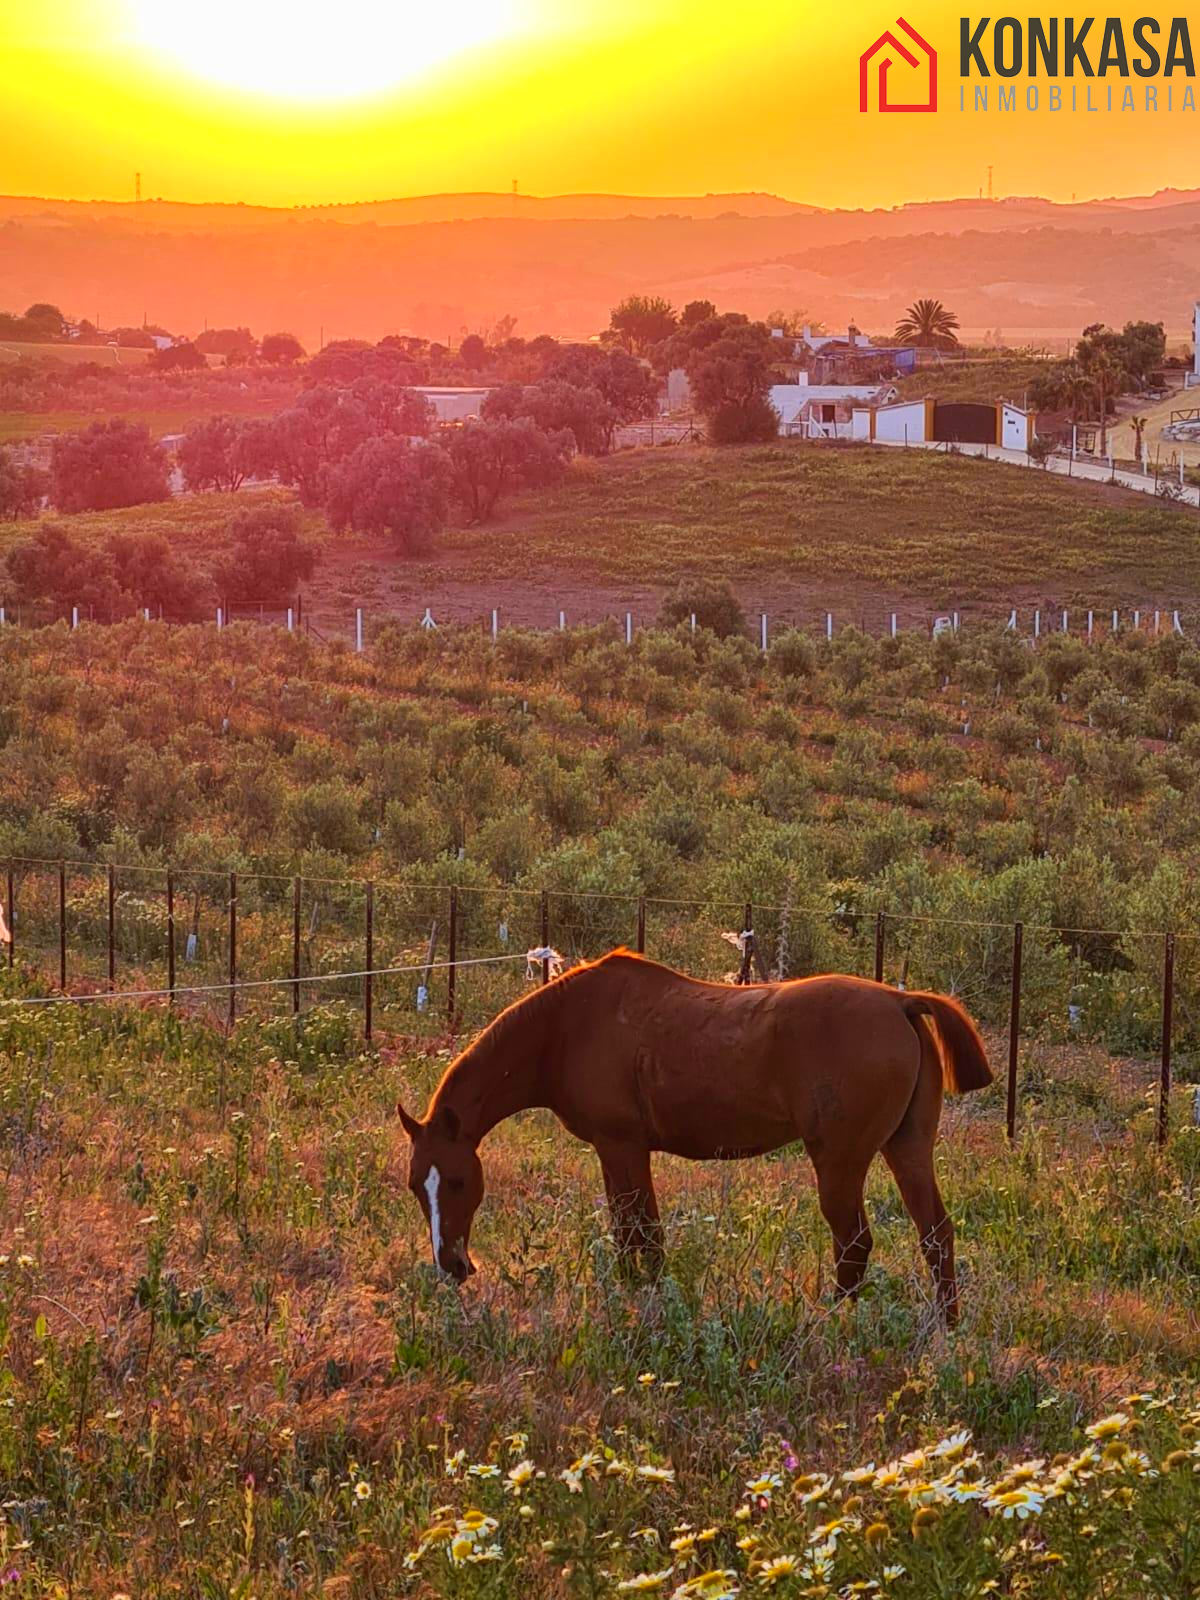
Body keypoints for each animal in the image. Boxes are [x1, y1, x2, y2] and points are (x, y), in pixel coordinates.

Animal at [396, 947, 998, 1324]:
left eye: (457, 1181)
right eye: (414, 1187)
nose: (451, 1265)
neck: (564, 1028)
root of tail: (900, 1002)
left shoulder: (621, 1147)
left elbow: (638, 1235)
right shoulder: (622, 1154)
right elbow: (639, 1234)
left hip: (839, 1162)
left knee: (854, 1244)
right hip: (907, 1149)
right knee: (935, 1234)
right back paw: (945, 1327)